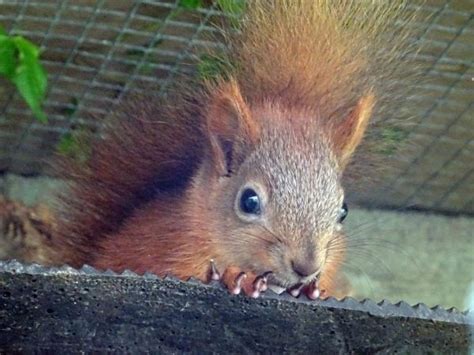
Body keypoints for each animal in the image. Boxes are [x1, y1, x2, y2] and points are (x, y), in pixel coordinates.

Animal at [48, 0, 418, 300]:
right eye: (248, 201)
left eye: (343, 211)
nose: (306, 266)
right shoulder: (163, 252)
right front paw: (234, 277)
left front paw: (312, 288)